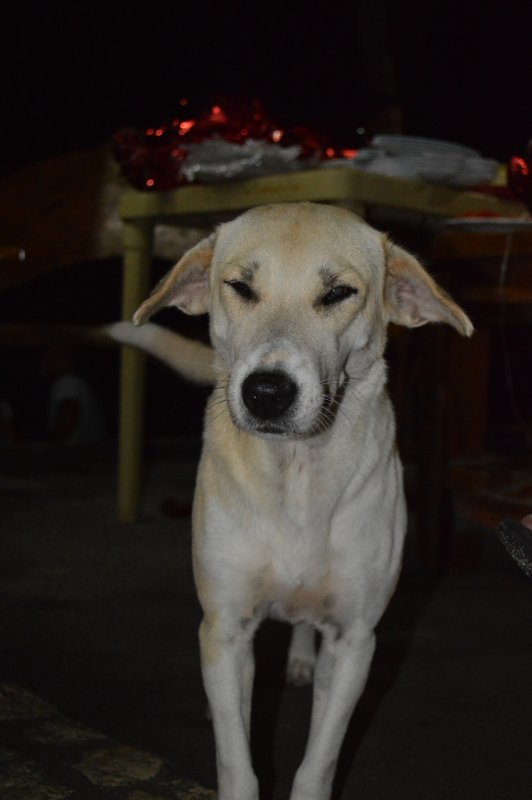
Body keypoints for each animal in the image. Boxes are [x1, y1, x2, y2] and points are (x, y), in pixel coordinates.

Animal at [109, 202, 473, 800]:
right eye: (239, 286)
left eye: (339, 293)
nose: (266, 392)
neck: (297, 477)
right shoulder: (227, 627)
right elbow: (236, 760)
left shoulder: (354, 641)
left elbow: (318, 761)